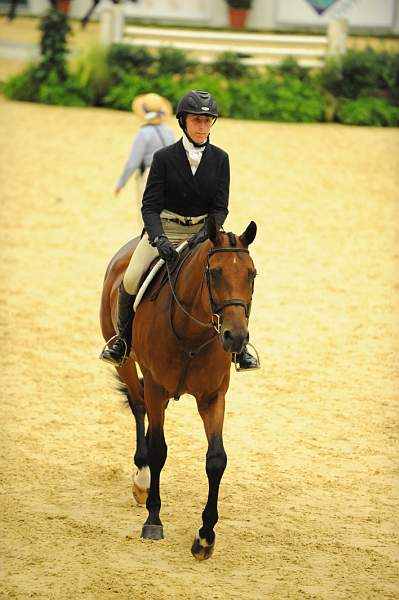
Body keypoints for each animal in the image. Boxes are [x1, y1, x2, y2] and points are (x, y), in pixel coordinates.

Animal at [99, 218, 256, 560]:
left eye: (251, 274)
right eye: (215, 272)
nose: (235, 338)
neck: (192, 334)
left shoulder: (213, 397)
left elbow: (216, 459)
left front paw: (205, 537)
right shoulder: (157, 387)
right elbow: (159, 450)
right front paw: (153, 521)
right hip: (125, 362)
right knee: (138, 405)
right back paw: (142, 479)